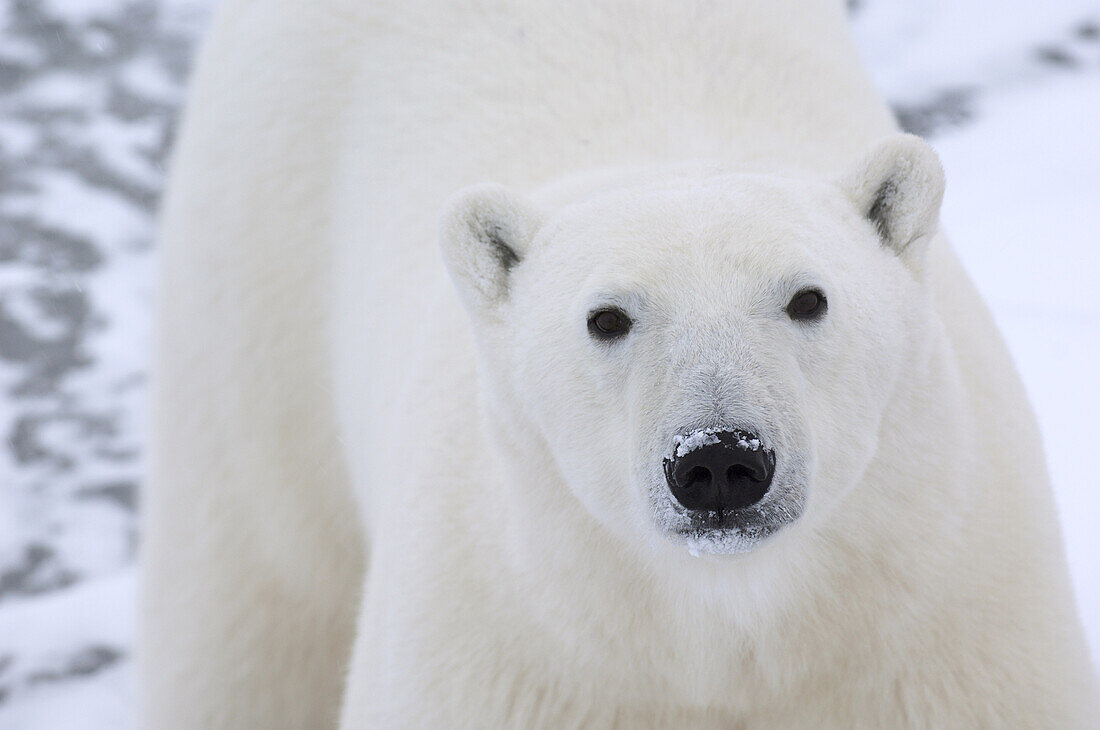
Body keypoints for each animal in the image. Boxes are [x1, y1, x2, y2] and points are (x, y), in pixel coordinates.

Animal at [141, 1, 1095, 729]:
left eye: (808, 298)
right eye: (607, 317)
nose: (720, 462)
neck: (722, 623)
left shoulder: (946, 640)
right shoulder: (514, 651)